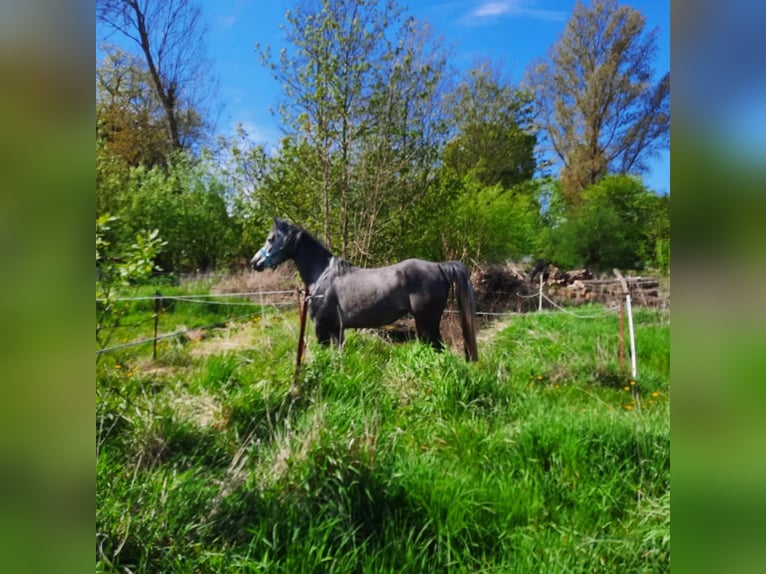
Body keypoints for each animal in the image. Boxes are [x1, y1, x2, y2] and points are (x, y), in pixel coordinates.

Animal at [251, 217, 478, 361]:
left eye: (270, 239)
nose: (255, 262)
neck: (323, 274)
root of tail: (439, 266)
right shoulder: (336, 329)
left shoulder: (321, 328)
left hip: (428, 322)